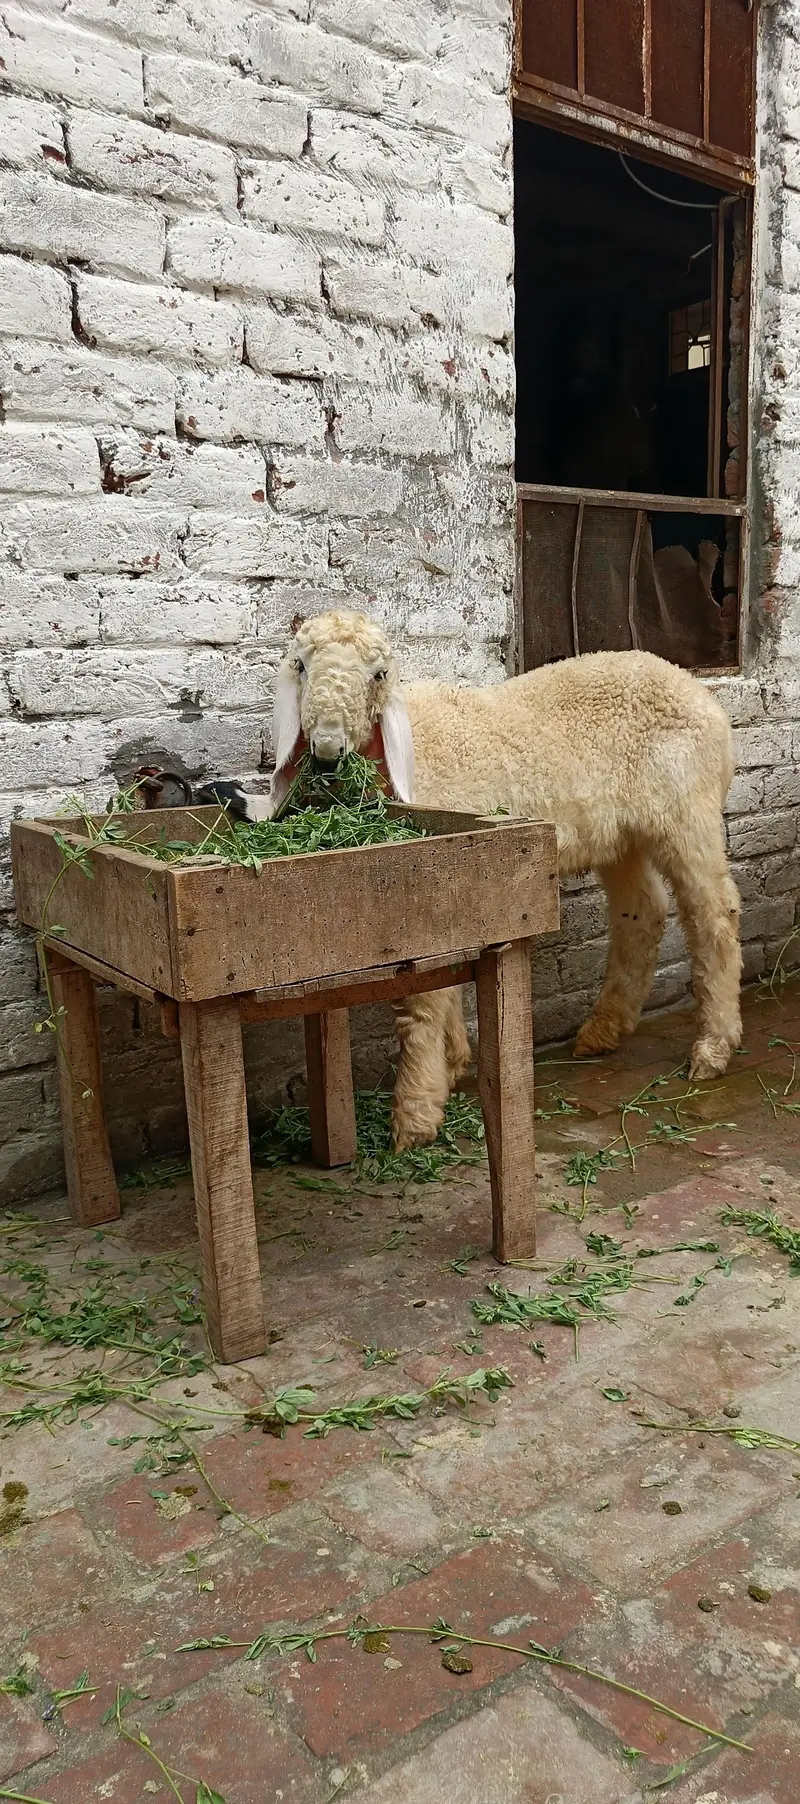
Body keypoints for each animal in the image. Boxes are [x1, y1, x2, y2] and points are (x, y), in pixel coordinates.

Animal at [214, 609, 742, 1151]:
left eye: (379, 675)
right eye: (300, 666)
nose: (326, 748)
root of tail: (698, 693)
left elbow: (421, 1003)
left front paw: (415, 1115)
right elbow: (443, 990)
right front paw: (451, 1065)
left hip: (686, 810)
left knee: (713, 914)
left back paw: (712, 1048)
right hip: (622, 833)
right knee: (643, 910)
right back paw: (604, 1029)